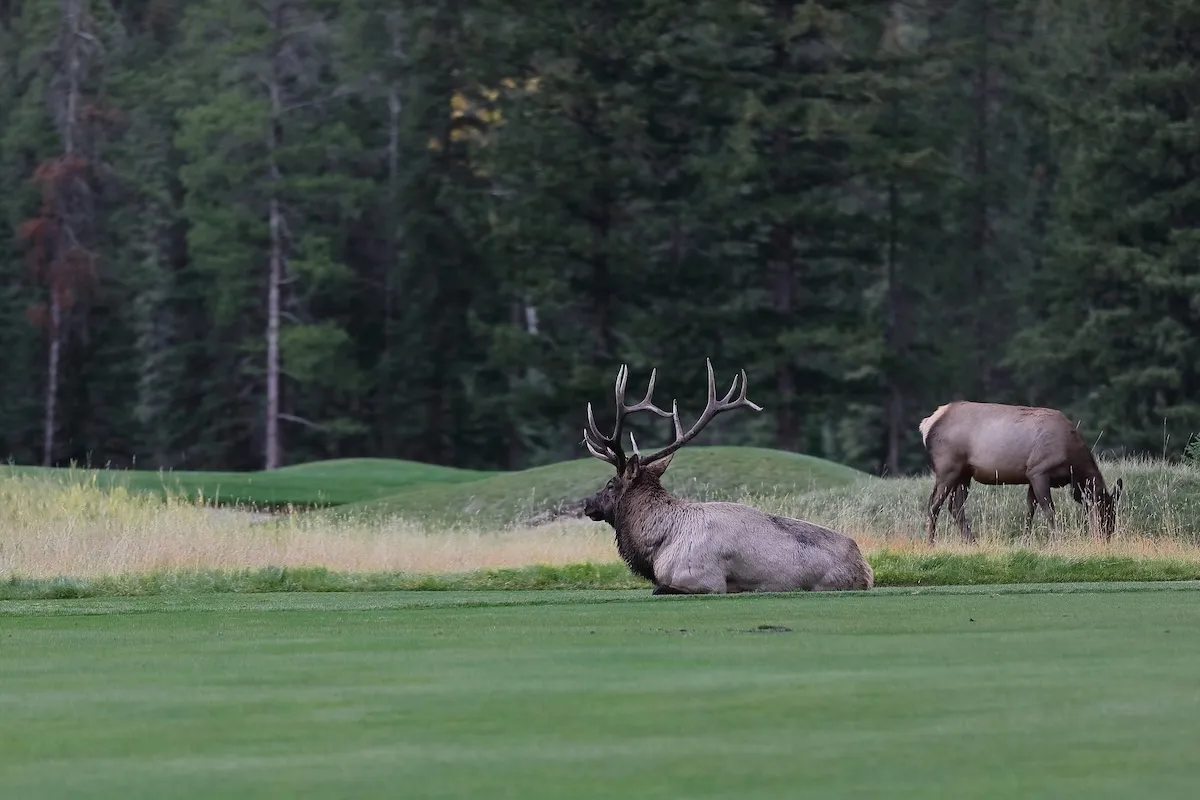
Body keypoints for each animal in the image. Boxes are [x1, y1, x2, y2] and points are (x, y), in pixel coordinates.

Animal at [579, 359, 874, 594]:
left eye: (610, 484)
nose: (586, 503)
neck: (657, 548)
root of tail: (866, 569)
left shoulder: (704, 580)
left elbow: (659, 589)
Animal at [920, 401, 1124, 546]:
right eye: (1106, 512)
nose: (1107, 537)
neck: (1073, 465)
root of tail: (927, 424)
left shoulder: (1031, 477)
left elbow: (1029, 511)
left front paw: (1026, 541)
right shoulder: (1039, 470)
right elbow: (1049, 511)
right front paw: (1057, 541)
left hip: (964, 473)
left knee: (955, 507)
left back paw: (972, 543)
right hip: (948, 467)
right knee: (934, 504)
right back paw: (931, 544)